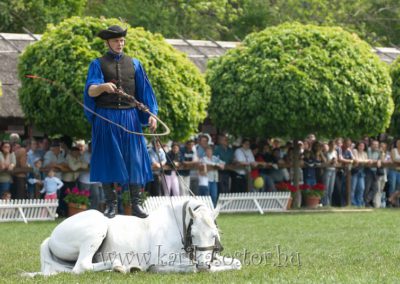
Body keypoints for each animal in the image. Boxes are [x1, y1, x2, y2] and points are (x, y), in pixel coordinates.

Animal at [28, 197, 241, 276]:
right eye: (194, 234)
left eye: (214, 234)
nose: (204, 265)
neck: (179, 226)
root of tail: (51, 237)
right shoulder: (162, 259)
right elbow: (189, 267)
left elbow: (237, 262)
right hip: (96, 226)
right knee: (82, 266)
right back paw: (121, 266)